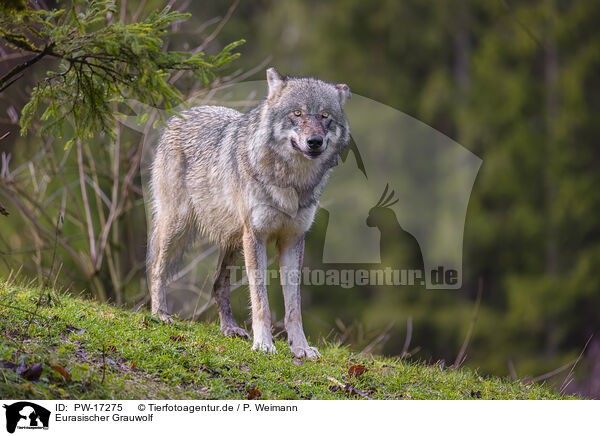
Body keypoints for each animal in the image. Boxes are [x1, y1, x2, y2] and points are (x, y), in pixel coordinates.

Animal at [146, 68, 352, 360]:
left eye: (324, 116)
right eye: (297, 113)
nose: (315, 142)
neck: (290, 182)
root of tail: (182, 113)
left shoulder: (292, 239)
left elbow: (294, 307)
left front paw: (300, 347)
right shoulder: (256, 236)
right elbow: (260, 300)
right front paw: (264, 343)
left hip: (234, 241)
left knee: (218, 283)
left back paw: (229, 329)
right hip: (179, 227)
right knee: (156, 268)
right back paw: (160, 315)